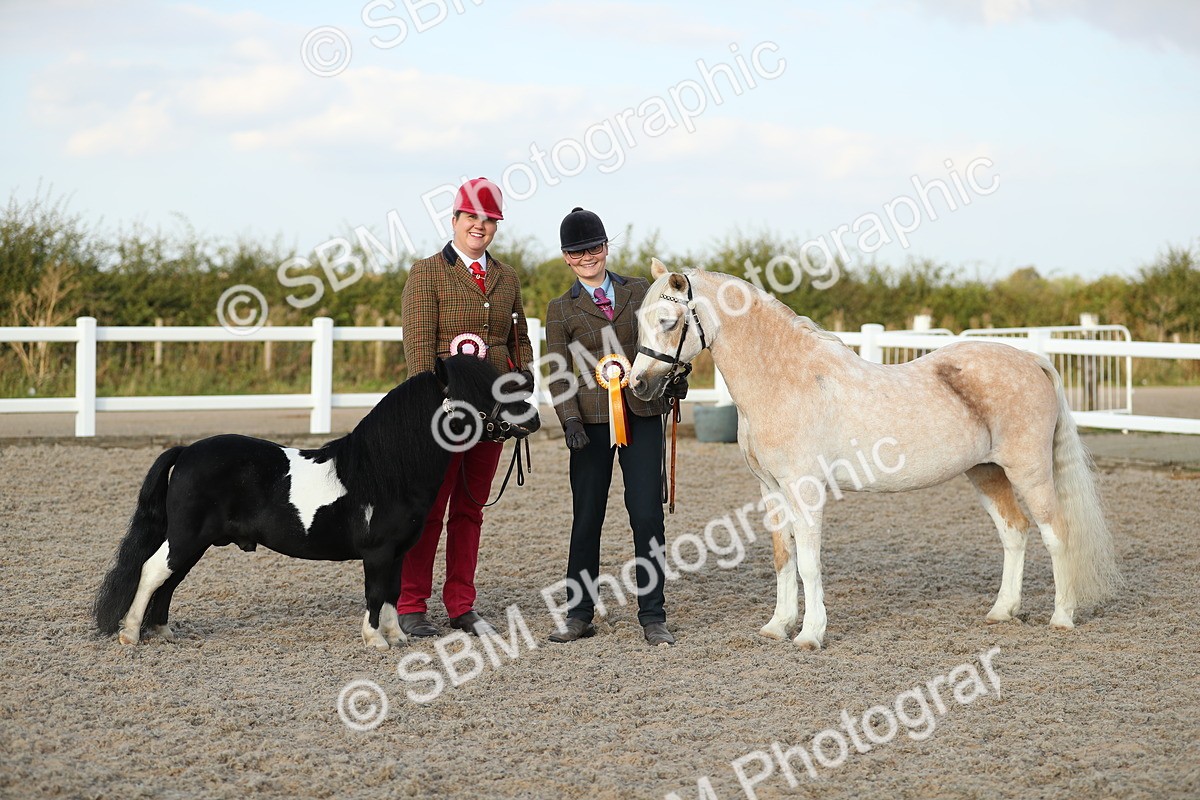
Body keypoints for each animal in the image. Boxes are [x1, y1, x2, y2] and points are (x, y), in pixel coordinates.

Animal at [93, 355, 540, 650]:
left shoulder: (397, 553)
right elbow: (375, 593)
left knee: (169, 580)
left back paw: (163, 632)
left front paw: (396, 637)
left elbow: (392, 593)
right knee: (153, 571)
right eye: (479, 391)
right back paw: (130, 634)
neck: (386, 470)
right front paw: (374, 640)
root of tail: (186, 452)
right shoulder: (377, 552)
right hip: (187, 536)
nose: (532, 419)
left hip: (195, 542)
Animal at [629, 259, 1120, 650]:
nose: (638, 385)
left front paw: (810, 635)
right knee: (1014, 531)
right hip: (986, 472)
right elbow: (784, 558)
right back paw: (1003, 611)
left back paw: (1062, 618)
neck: (786, 379)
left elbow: (809, 562)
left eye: (668, 321)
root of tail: (1033, 359)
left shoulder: (806, 490)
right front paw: (777, 627)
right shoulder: (771, 490)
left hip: (1029, 471)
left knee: (1056, 534)